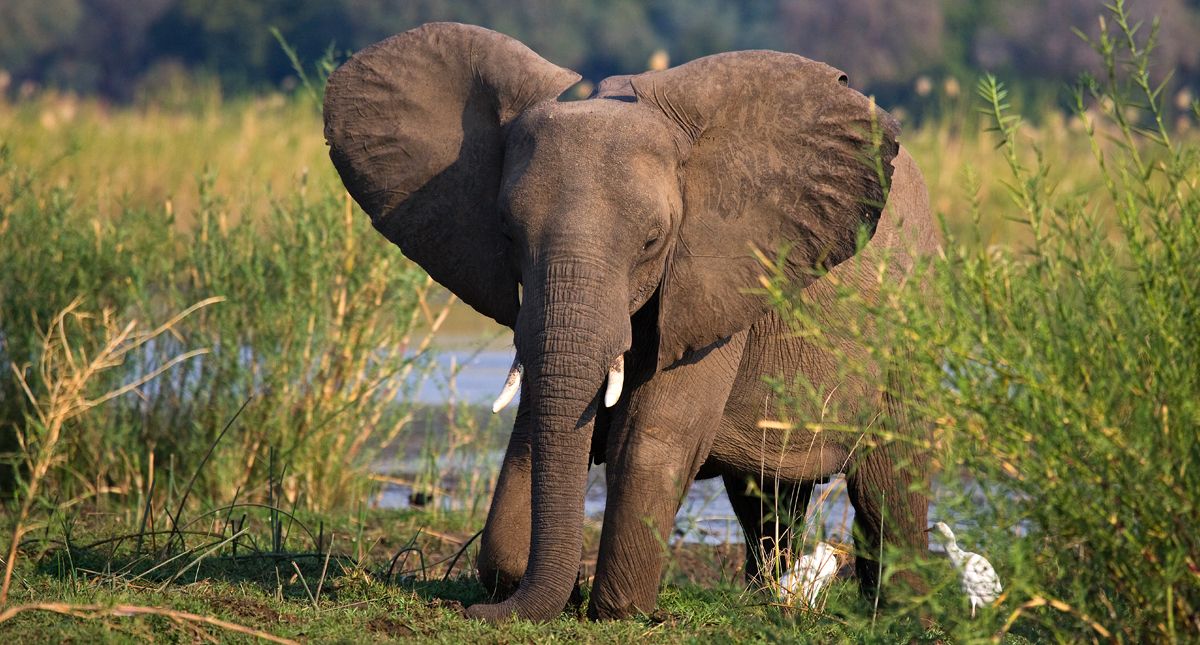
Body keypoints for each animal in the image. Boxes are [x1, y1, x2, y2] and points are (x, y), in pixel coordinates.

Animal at [324, 22, 940, 618]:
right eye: (506, 234)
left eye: (651, 242)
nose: (471, 612)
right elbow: (535, 423)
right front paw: (522, 580)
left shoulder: (717, 275)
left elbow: (651, 434)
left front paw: (618, 610)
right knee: (766, 498)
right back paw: (772, 602)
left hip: (910, 326)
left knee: (889, 483)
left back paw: (901, 614)